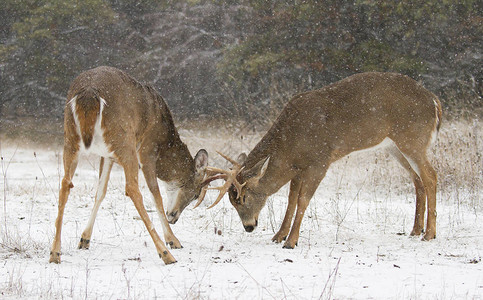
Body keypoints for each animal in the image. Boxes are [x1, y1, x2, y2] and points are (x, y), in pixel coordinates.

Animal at [49, 66, 208, 264]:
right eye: (195, 194)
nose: (174, 217)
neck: (165, 141)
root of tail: (89, 92)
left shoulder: (106, 156)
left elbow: (100, 192)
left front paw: (84, 239)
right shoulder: (147, 151)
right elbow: (156, 194)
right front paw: (173, 240)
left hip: (70, 138)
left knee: (65, 183)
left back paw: (55, 253)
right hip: (126, 142)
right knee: (132, 189)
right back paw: (165, 254)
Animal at [196, 71, 442, 247]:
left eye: (243, 197)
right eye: (232, 200)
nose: (248, 227)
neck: (289, 144)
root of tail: (434, 100)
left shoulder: (320, 161)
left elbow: (304, 200)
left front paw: (291, 241)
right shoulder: (298, 167)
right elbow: (291, 200)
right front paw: (278, 236)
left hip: (413, 138)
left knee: (431, 176)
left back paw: (429, 233)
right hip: (394, 146)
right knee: (417, 180)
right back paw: (415, 230)